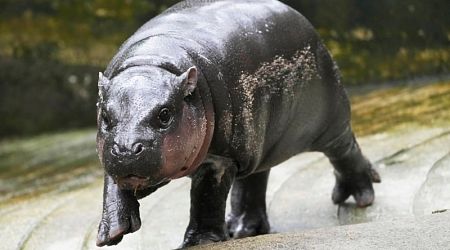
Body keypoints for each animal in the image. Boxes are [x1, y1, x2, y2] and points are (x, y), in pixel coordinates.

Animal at [95, 0, 380, 246]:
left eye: (164, 114)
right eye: (105, 116)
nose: (126, 150)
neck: (151, 64)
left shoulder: (222, 158)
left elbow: (207, 197)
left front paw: (199, 242)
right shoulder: (111, 152)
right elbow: (112, 185)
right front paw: (111, 233)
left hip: (329, 121)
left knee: (345, 150)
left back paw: (361, 196)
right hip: (259, 142)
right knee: (254, 180)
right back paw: (242, 229)